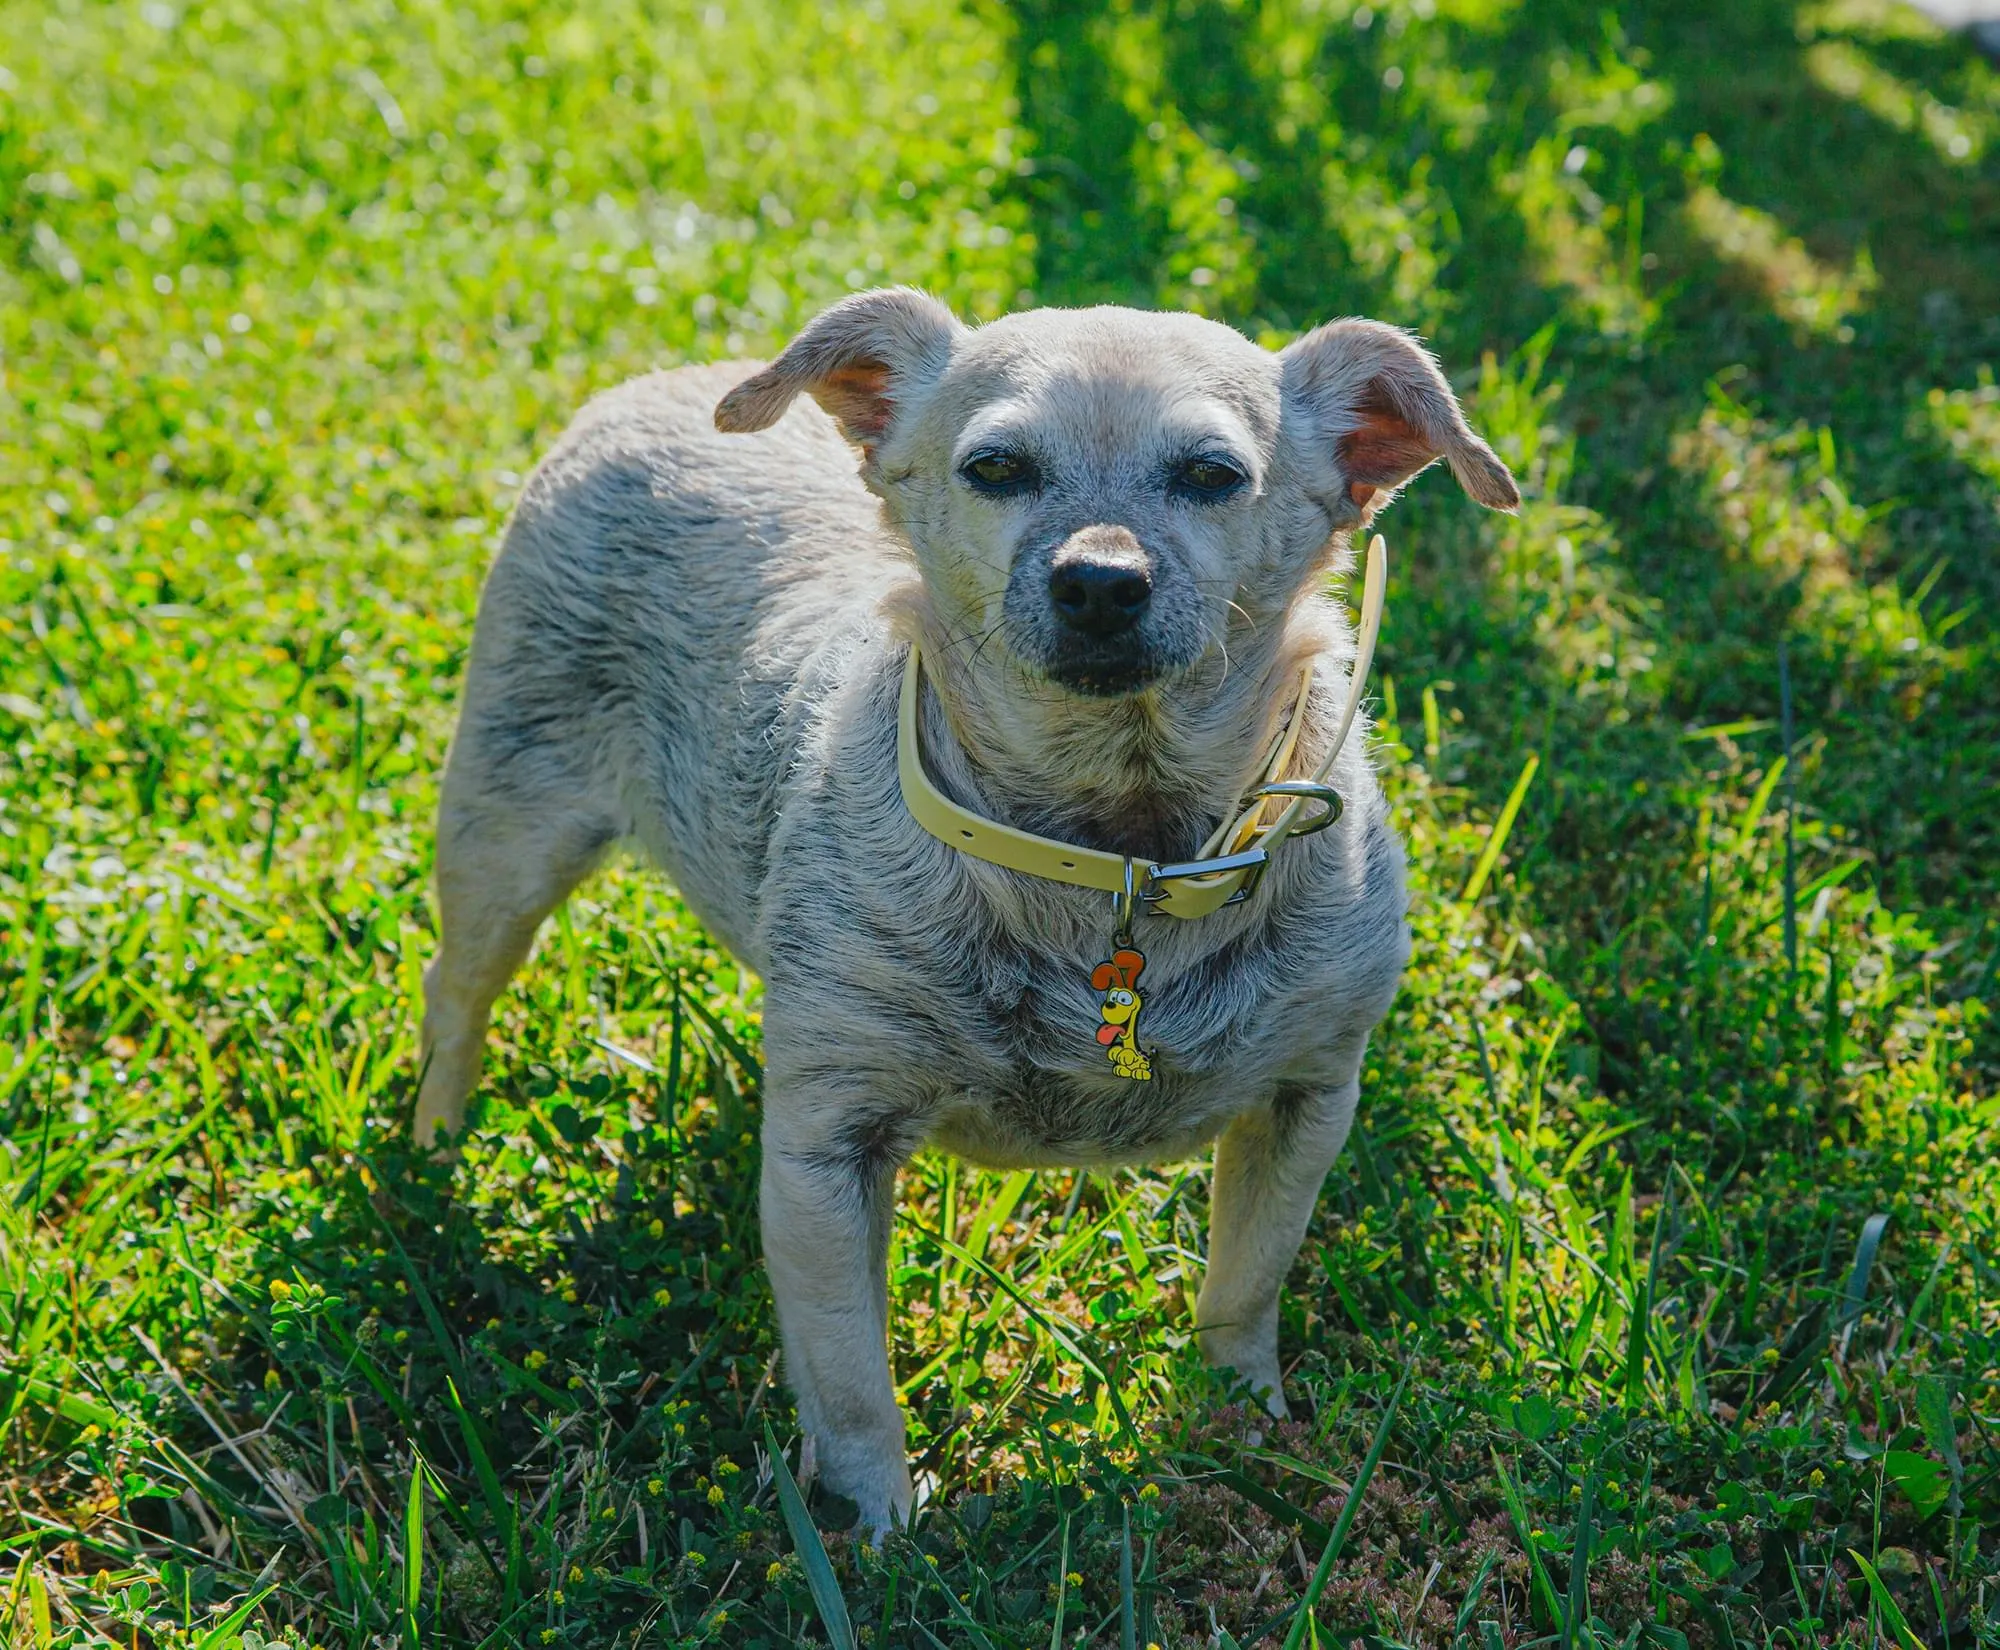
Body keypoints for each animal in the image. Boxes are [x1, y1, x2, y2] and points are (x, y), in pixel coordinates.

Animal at [418, 290, 1512, 1536]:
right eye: (995, 468)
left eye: (1212, 476)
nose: (1099, 580)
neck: (1111, 850)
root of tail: (652, 381)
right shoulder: (825, 1156)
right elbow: (849, 1374)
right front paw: (875, 1529)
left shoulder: (1305, 1104)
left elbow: (1242, 1288)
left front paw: (1240, 1428)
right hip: (506, 837)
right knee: (455, 998)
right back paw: (430, 1160)